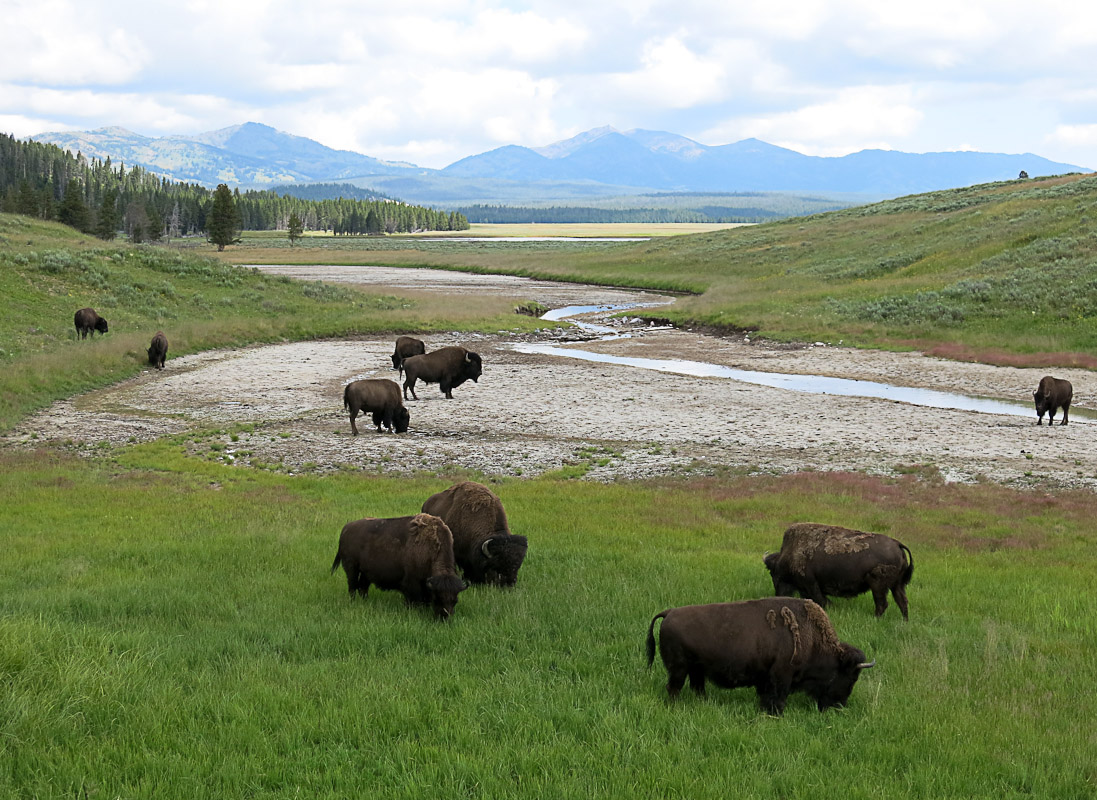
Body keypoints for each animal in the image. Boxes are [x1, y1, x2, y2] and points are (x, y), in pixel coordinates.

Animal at [329, 511, 467, 618]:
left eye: (455, 600)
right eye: (437, 598)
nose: (444, 617)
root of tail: (346, 528)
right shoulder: (412, 582)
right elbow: (414, 599)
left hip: (365, 572)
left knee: (363, 587)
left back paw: (365, 601)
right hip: (351, 567)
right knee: (352, 586)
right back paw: (353, 602)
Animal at [640, 596, 873, 715]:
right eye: (851, 677)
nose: (839, 706)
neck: (815, 641)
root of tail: (669, 612)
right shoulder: (781, 677)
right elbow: (777, 697)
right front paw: (775, 714)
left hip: (696, 669)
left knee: (696, 687)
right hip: (679, 669)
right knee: (673, 688)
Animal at [763, 520, 917, 618]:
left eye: (772, 573)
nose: (777, 595)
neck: (789, 554)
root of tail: (897, 544)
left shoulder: (811, 584)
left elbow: (821, 599)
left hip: (878, 585)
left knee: (882, 604)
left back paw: (875, 619)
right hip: (897, 585)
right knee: (902, 602)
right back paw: (904, 621)